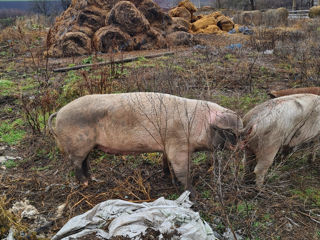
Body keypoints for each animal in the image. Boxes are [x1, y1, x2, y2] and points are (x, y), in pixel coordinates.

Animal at [48, 92, 242, 191]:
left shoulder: (167, 145)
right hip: (78, 144)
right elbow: (182, 170)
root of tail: (60, 112)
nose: (241, 146)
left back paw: (94, 179)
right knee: (75, 163)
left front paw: (166, 176)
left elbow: (166, 161)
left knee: (85, 162)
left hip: (88, 145)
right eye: (231, 132)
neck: (198, 124)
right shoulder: (179, 145)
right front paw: (190, 191)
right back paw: (85, 183)